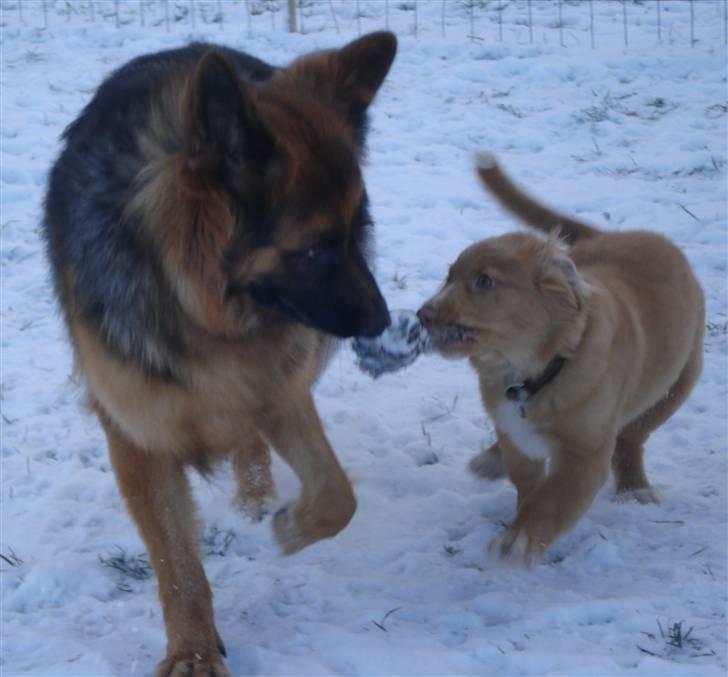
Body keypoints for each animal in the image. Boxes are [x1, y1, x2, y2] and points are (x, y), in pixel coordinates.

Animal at [44, 33, 398, 676]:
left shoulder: (278, 389)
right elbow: (177, 565)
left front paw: (290, 528)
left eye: (356, 230)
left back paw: (256, 495)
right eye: (314, 248)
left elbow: (339, 496)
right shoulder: (137, 437)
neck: (200, 310)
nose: (382, 323)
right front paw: (192, 652)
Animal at [420, 152, 704, 564]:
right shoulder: (517, 438)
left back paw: (634, 487)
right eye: (449, 277)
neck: (528, 374)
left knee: (632, 438)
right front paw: (517, 516)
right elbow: (528, 486)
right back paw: (490, 459)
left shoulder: (584, 454)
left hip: (680, 380)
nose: (422, 315)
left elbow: (552, 500)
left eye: (485, 281)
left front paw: (519, 541)